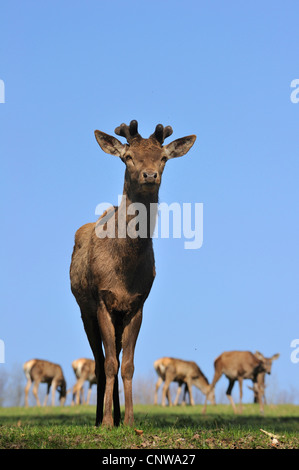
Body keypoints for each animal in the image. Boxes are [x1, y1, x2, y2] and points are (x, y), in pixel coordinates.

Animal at [70, 120, 197, 426]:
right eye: (128, 157)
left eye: (163, 158)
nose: (149, 175)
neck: (123, 274)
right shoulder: (102, 300)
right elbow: (109, 364)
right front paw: (106, 422)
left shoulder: (137, 304)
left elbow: (127, 365)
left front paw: (128, 420)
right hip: (84, 309)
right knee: (99, 364)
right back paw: (100, 418)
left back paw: (116, 416)